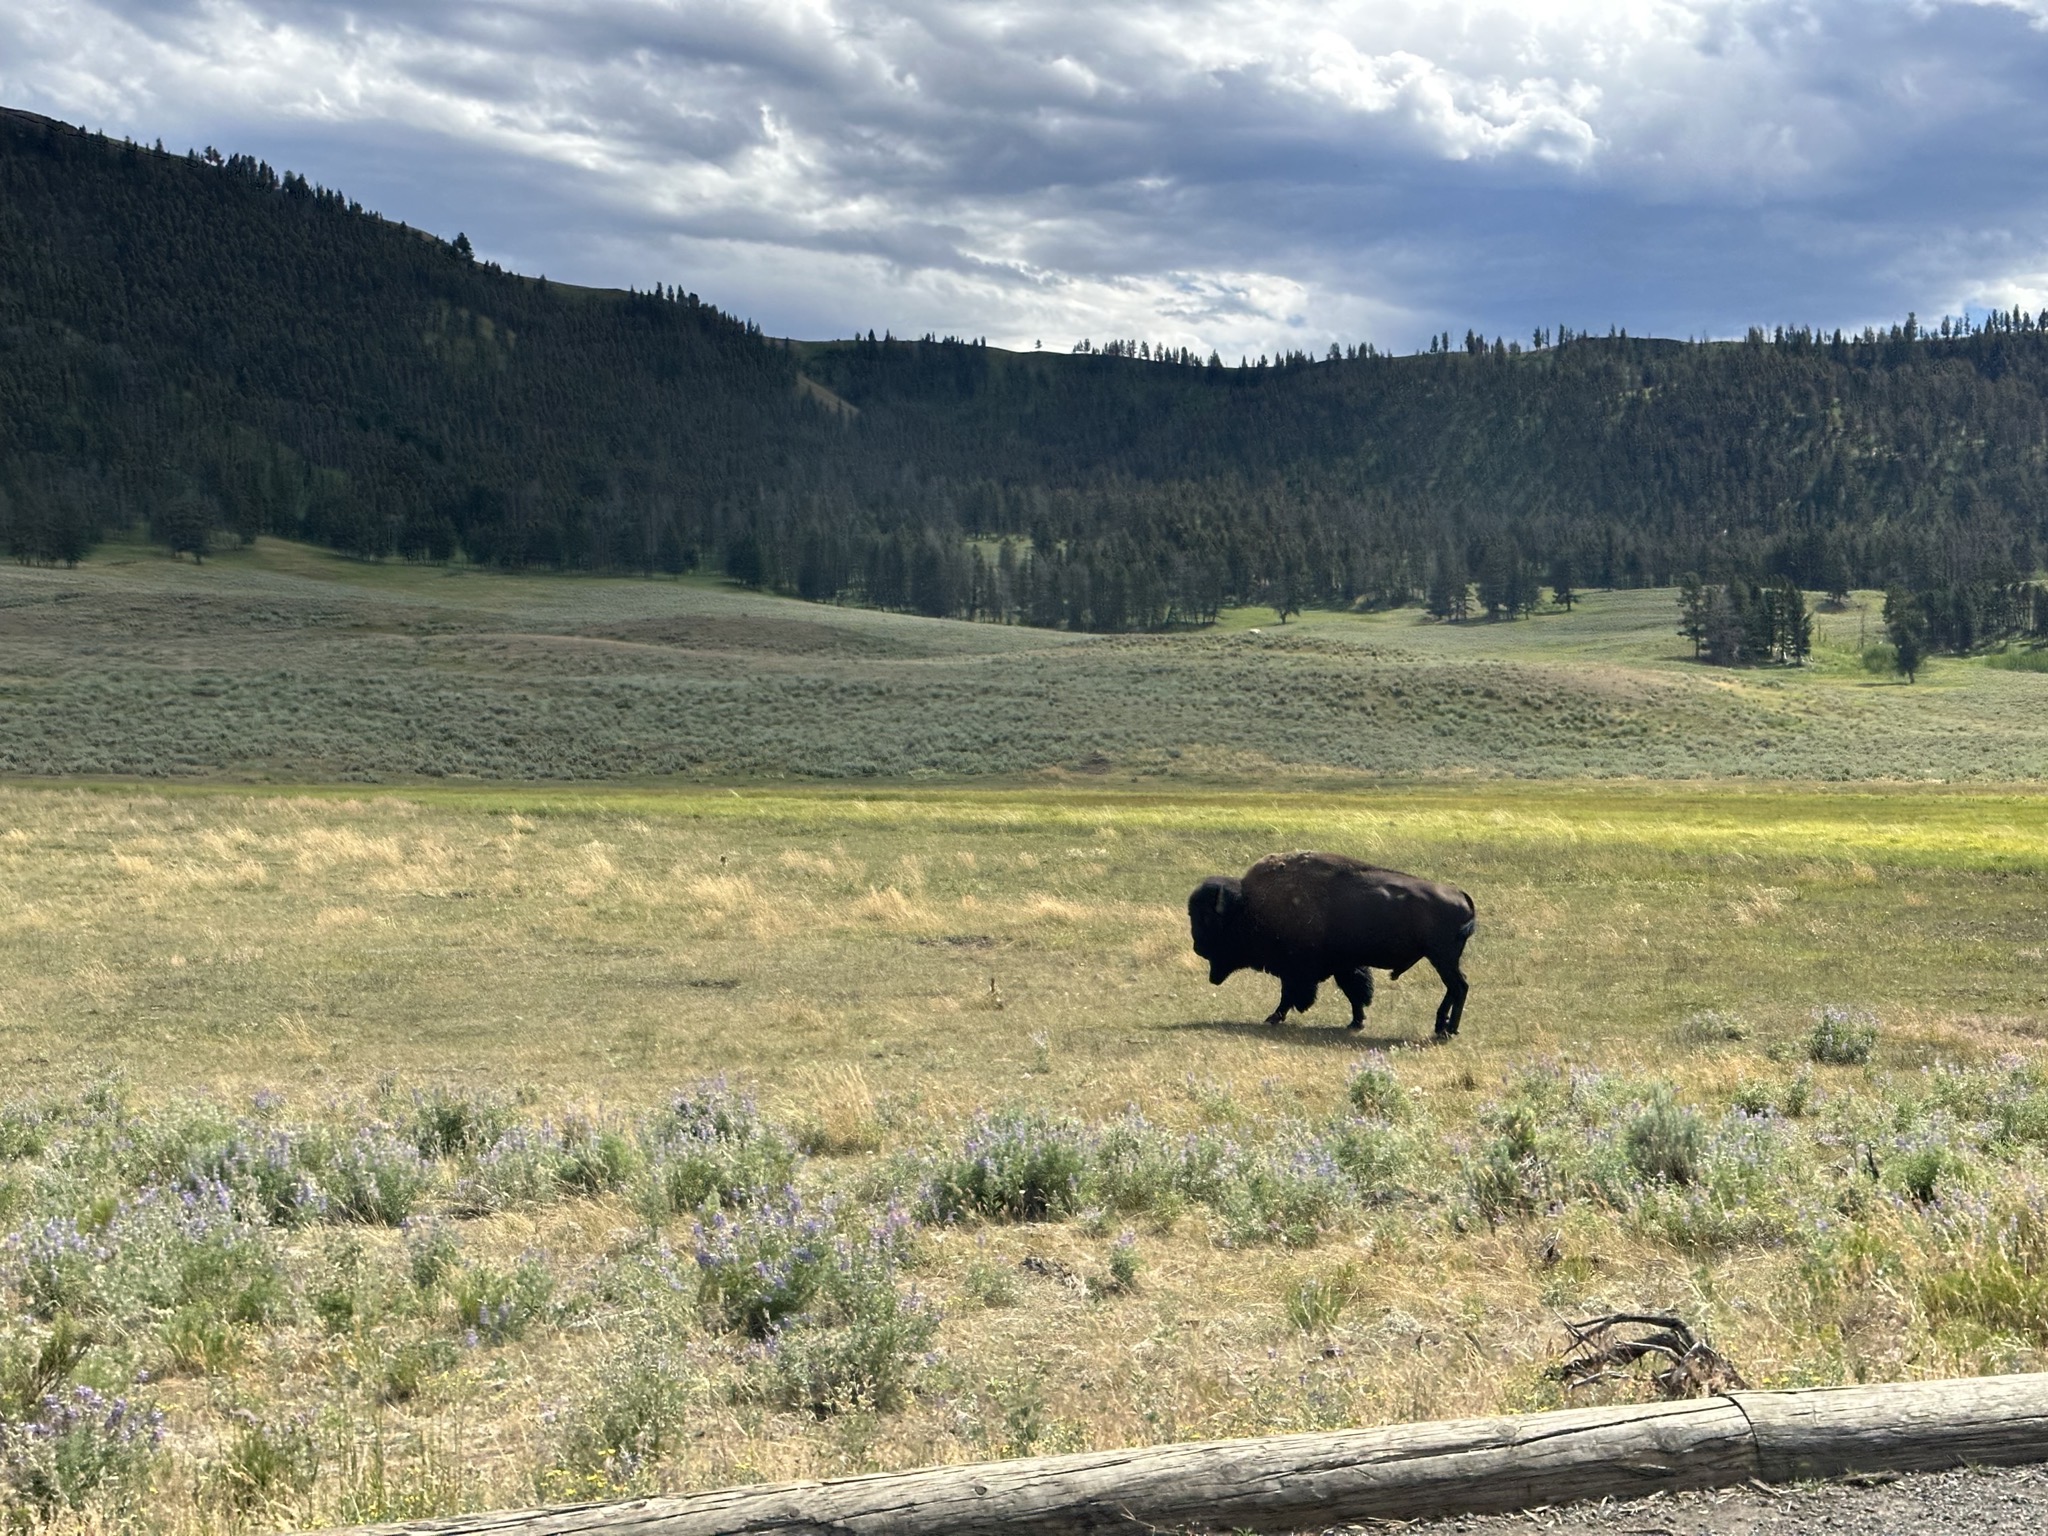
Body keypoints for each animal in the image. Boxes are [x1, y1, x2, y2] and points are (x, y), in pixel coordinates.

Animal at [1188, 851, 1476, 1038]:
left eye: (1208, 920)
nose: (1197, 948)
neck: (1250, 905)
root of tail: (1461, 894)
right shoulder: (1344, 965)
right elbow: (1355, 993)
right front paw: (1356, 1023)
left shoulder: (1297, 970)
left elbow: (1289, 995)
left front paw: (1273, 1017)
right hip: (1442, 959)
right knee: (1455, 987)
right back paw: (1443, 1026)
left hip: (1442, 958)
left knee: (1459, 986)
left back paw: (1448, 1029)